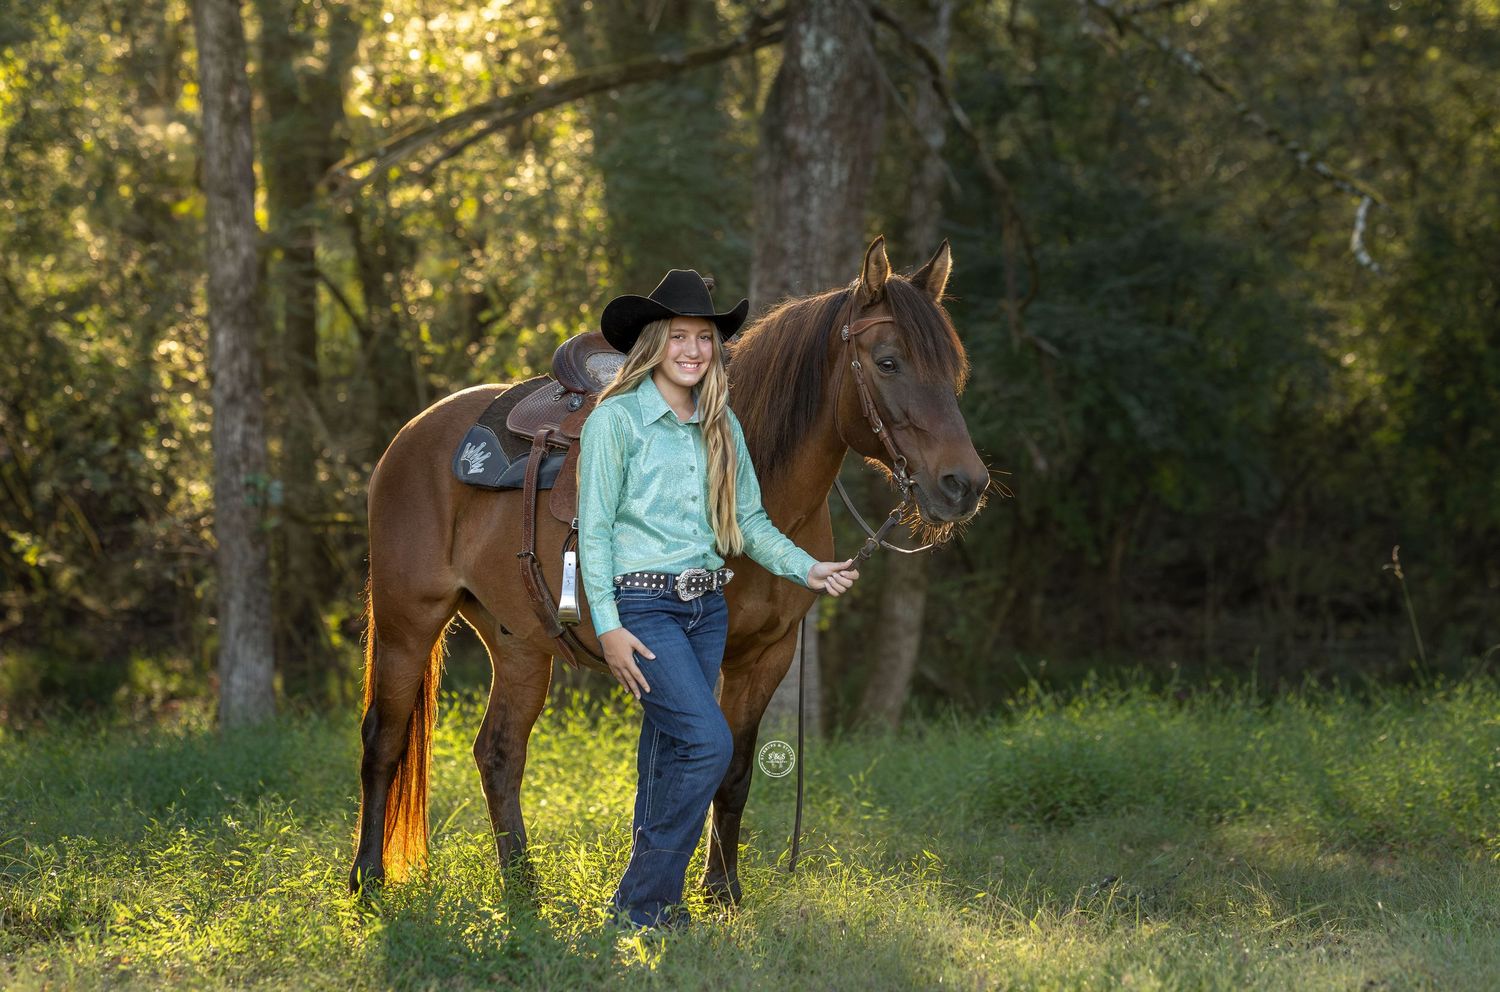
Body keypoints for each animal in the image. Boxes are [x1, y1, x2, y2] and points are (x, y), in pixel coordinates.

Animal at [349, 236, 992, 906]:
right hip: (406, 623)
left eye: (953, 369)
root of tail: (412, 434)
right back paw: (368, 882)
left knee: (499, 754)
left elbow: (732, 772)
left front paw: (722, 892)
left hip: (520, 643)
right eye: (888, 362)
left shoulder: (766, 655)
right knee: (383, 742)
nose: (964, 485)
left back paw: (523, 889)